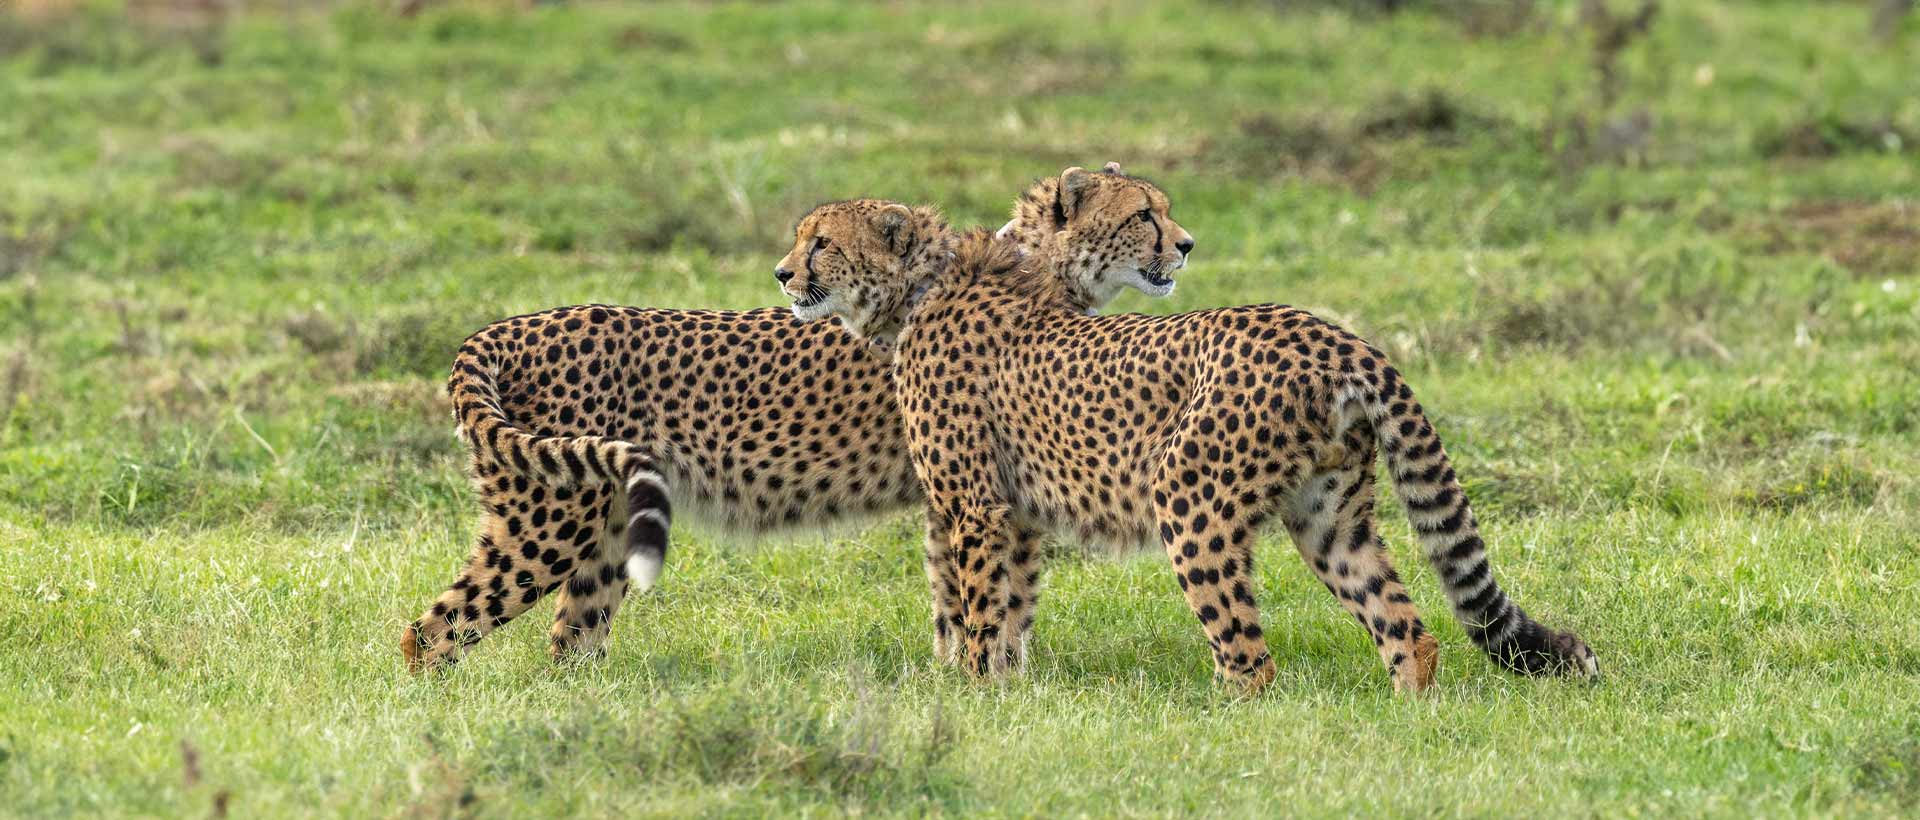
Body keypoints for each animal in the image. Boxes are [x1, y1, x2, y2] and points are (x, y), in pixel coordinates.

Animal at [397, 163, 1175, 672]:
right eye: (1145, 215)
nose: (1187, 243)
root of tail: (508, 325)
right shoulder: (972, 494)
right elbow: (986, 598)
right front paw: (983, 679)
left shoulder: (959, 497)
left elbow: (973, 596)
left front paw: (974, 675)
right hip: (547, 520)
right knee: (437, 627)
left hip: (611, 522)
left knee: (571, 635)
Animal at [777, 172, 1597, 692]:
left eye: (820, 242)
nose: (784, 274)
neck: (919, 288)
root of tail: (1333, 333)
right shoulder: (1006, 507)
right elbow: (997, 605)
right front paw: (994, 684)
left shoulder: (975, 505)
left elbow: (979, 606)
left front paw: (975, 693)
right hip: (1329, 513)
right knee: (1404, 625)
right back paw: (1408, 719)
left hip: (1189, 496)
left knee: (1251, 660)